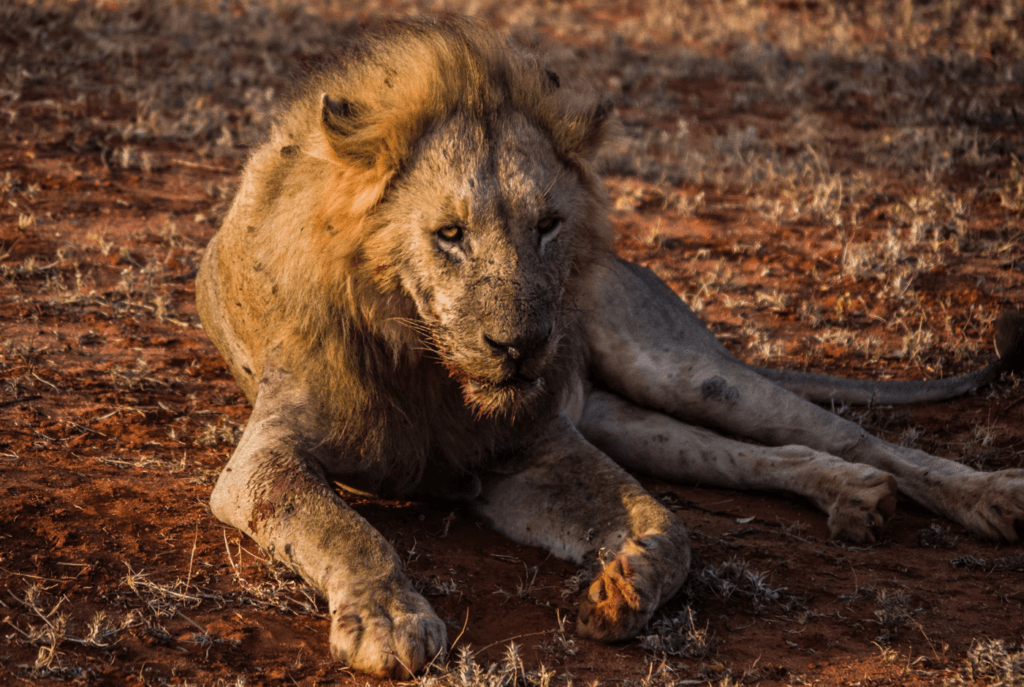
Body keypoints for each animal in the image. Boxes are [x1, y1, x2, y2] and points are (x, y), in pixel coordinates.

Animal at [193, 14, 1024, 675]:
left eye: (548, 225)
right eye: (450, 234)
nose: (522, 345)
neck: (429, 365)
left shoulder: (533, 448)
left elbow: (672, 527)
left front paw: (625, 581)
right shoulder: (264, 458)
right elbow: (343, 528)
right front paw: (390, 622)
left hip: (675, 368)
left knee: (852, 436)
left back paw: (988, 497)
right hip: (624, 418)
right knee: (768, 456)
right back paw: (855, 496)